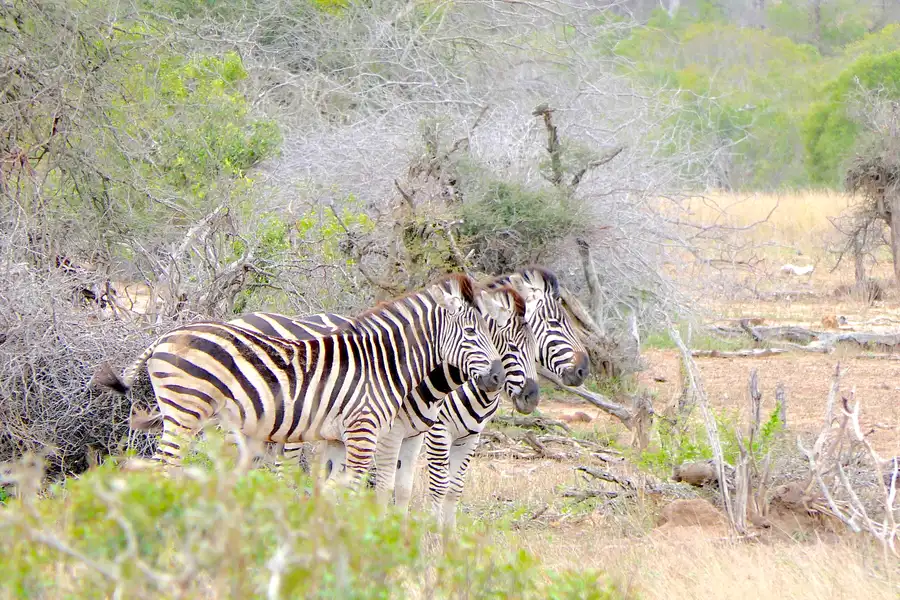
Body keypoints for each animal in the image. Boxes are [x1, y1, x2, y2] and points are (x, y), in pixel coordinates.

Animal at [91, 274, 506, 488]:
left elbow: (332, 492)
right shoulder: (363, 431)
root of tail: (165, 336)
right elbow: (354, 491)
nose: (498, 377)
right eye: (472, 332)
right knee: (162, 469)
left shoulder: (338, 438)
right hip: (185, 411)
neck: (383, 364)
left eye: (493, 331)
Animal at [229, 284, 539, 505]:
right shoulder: (420, 432)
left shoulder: (453, 436)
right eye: (511, 346)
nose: (532, 397)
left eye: (536, 346)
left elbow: (437, 488)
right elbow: (415, 485)